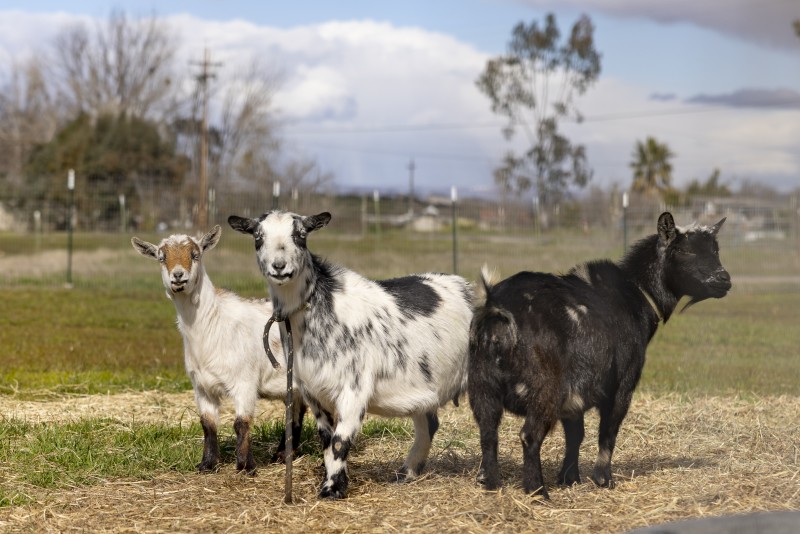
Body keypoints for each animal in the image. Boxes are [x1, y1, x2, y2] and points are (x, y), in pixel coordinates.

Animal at [131, 225, 306, 474]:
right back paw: (282, 455)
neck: (213, 327)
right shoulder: (201, 386)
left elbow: (241, 423)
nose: (178, 276)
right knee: (295, 412)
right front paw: (207, 463)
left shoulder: (245, 382)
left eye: (195, 255)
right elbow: (208, 424)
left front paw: (245, 466)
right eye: (161, 258)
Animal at [227, 211, 476, 500]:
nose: (279, 266)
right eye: (258, 237)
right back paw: (407, 473)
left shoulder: (355, 388)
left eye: (300, 235)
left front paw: (332, 490)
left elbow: (340, 441)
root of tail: (469, 289)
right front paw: (335, 481)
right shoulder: (313, 392)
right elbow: (326, 440)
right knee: (428, 424)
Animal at [468, 213, 732, 498]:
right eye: (685, 250)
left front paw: (570, 478)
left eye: (716, 250)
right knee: (529, 435)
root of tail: (498, 309)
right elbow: (608, 431)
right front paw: (603, 479)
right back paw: (537, 491)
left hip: (482, 385)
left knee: (488, 431)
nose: (723, 280)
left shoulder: (574, 396)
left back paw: (491, 483)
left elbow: (576, 435)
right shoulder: (622, 387)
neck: (636, 295)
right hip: (544, 390)